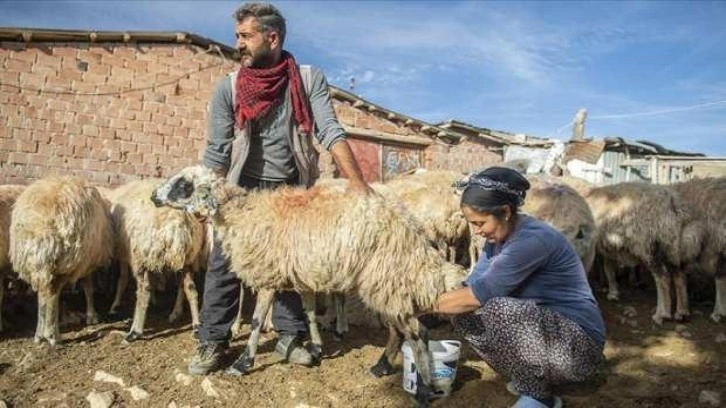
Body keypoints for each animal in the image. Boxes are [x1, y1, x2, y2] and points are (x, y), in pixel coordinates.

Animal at [9, 177, 112, 346]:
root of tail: (41, 225)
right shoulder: (87, 262)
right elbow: (88, 288)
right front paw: (92, 316)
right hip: (67, 259)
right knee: (51, 294)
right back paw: (52, 336)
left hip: (36, 263)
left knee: (43, 294)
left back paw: (39, 334)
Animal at [101, 180, 208, 342]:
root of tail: (177, 220)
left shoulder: (128, 253)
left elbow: (123, 279)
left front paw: (115, 306)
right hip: (187, 257)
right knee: (190, 288)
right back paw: (195, 325)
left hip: (141, 254)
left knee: (143, 291)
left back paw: (135, 331)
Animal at [154, 166, 470, 404]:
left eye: (182, 184)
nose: (153, 196)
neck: (243, 214)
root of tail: (409, 226)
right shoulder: (303, 275)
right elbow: (307, 314)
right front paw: (316, 348)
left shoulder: (269, 274)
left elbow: (256, 322)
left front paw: (243, 363)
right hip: (385, 283)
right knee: (399, 330)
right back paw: (380, 367)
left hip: (386, 277)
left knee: (418, 333)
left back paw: (424, 390)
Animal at [584, 183, 704, 324]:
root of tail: (672, 201)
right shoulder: (608, 245)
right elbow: (608, 269)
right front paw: (612, 292)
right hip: (671, 245)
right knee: (679, 275)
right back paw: (682, 312)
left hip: (648, 245)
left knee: (662, 278)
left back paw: (661, 314)